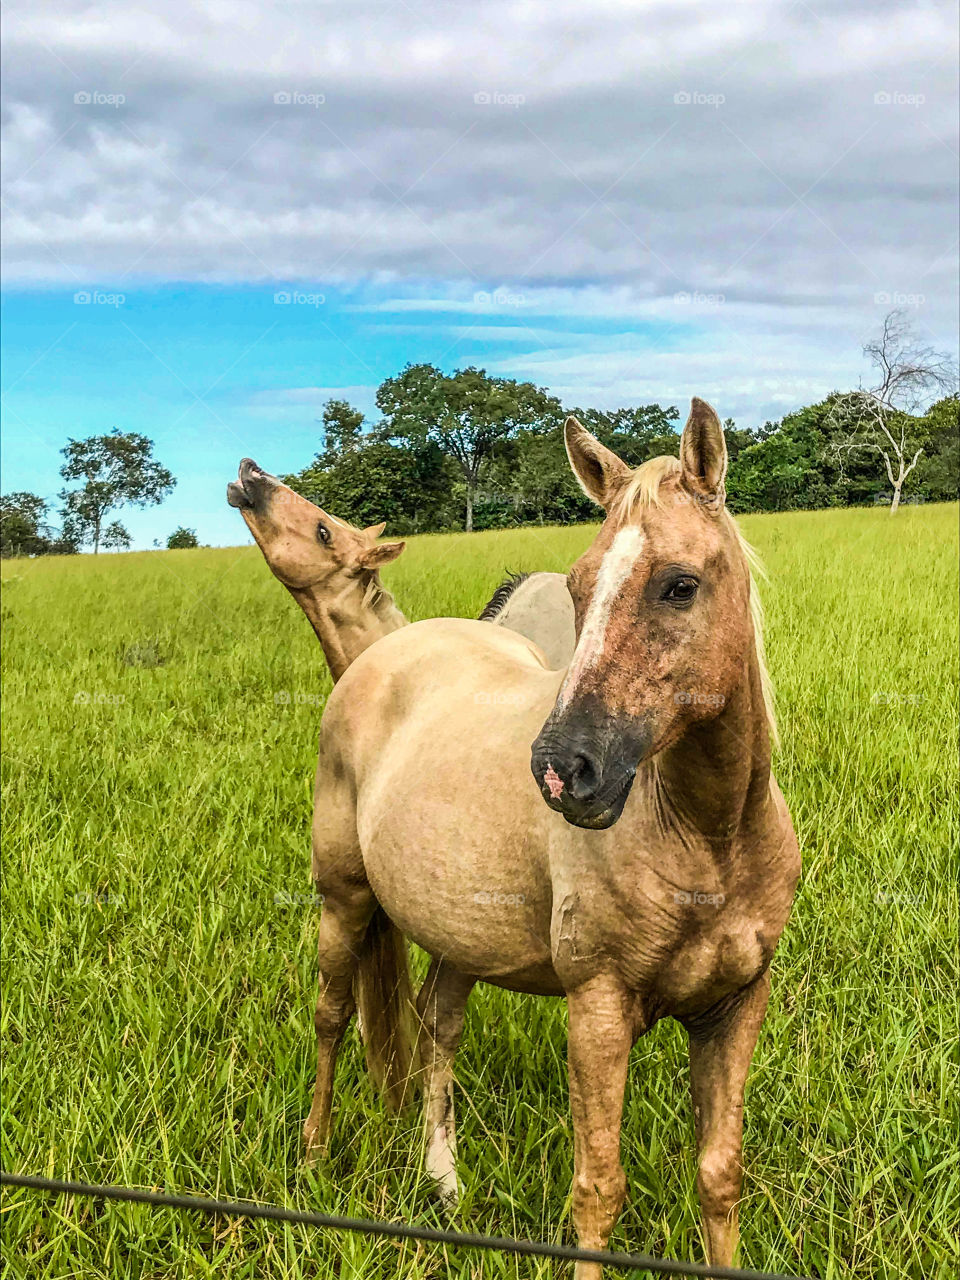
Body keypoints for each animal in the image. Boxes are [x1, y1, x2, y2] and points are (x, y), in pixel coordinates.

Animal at [300, 396, 798, 1269]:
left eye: (680, 586)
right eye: (577, 585)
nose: (564, 768)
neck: (710, 841)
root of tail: (382, 655)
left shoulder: (736, 1007)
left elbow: (718, 1176)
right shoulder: (597, 1009)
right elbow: (598, 1191)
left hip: (460, 936)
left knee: (438, 1026)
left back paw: (443, 1181)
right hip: (344, 899)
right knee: (332, 1016)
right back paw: (316, 1153)